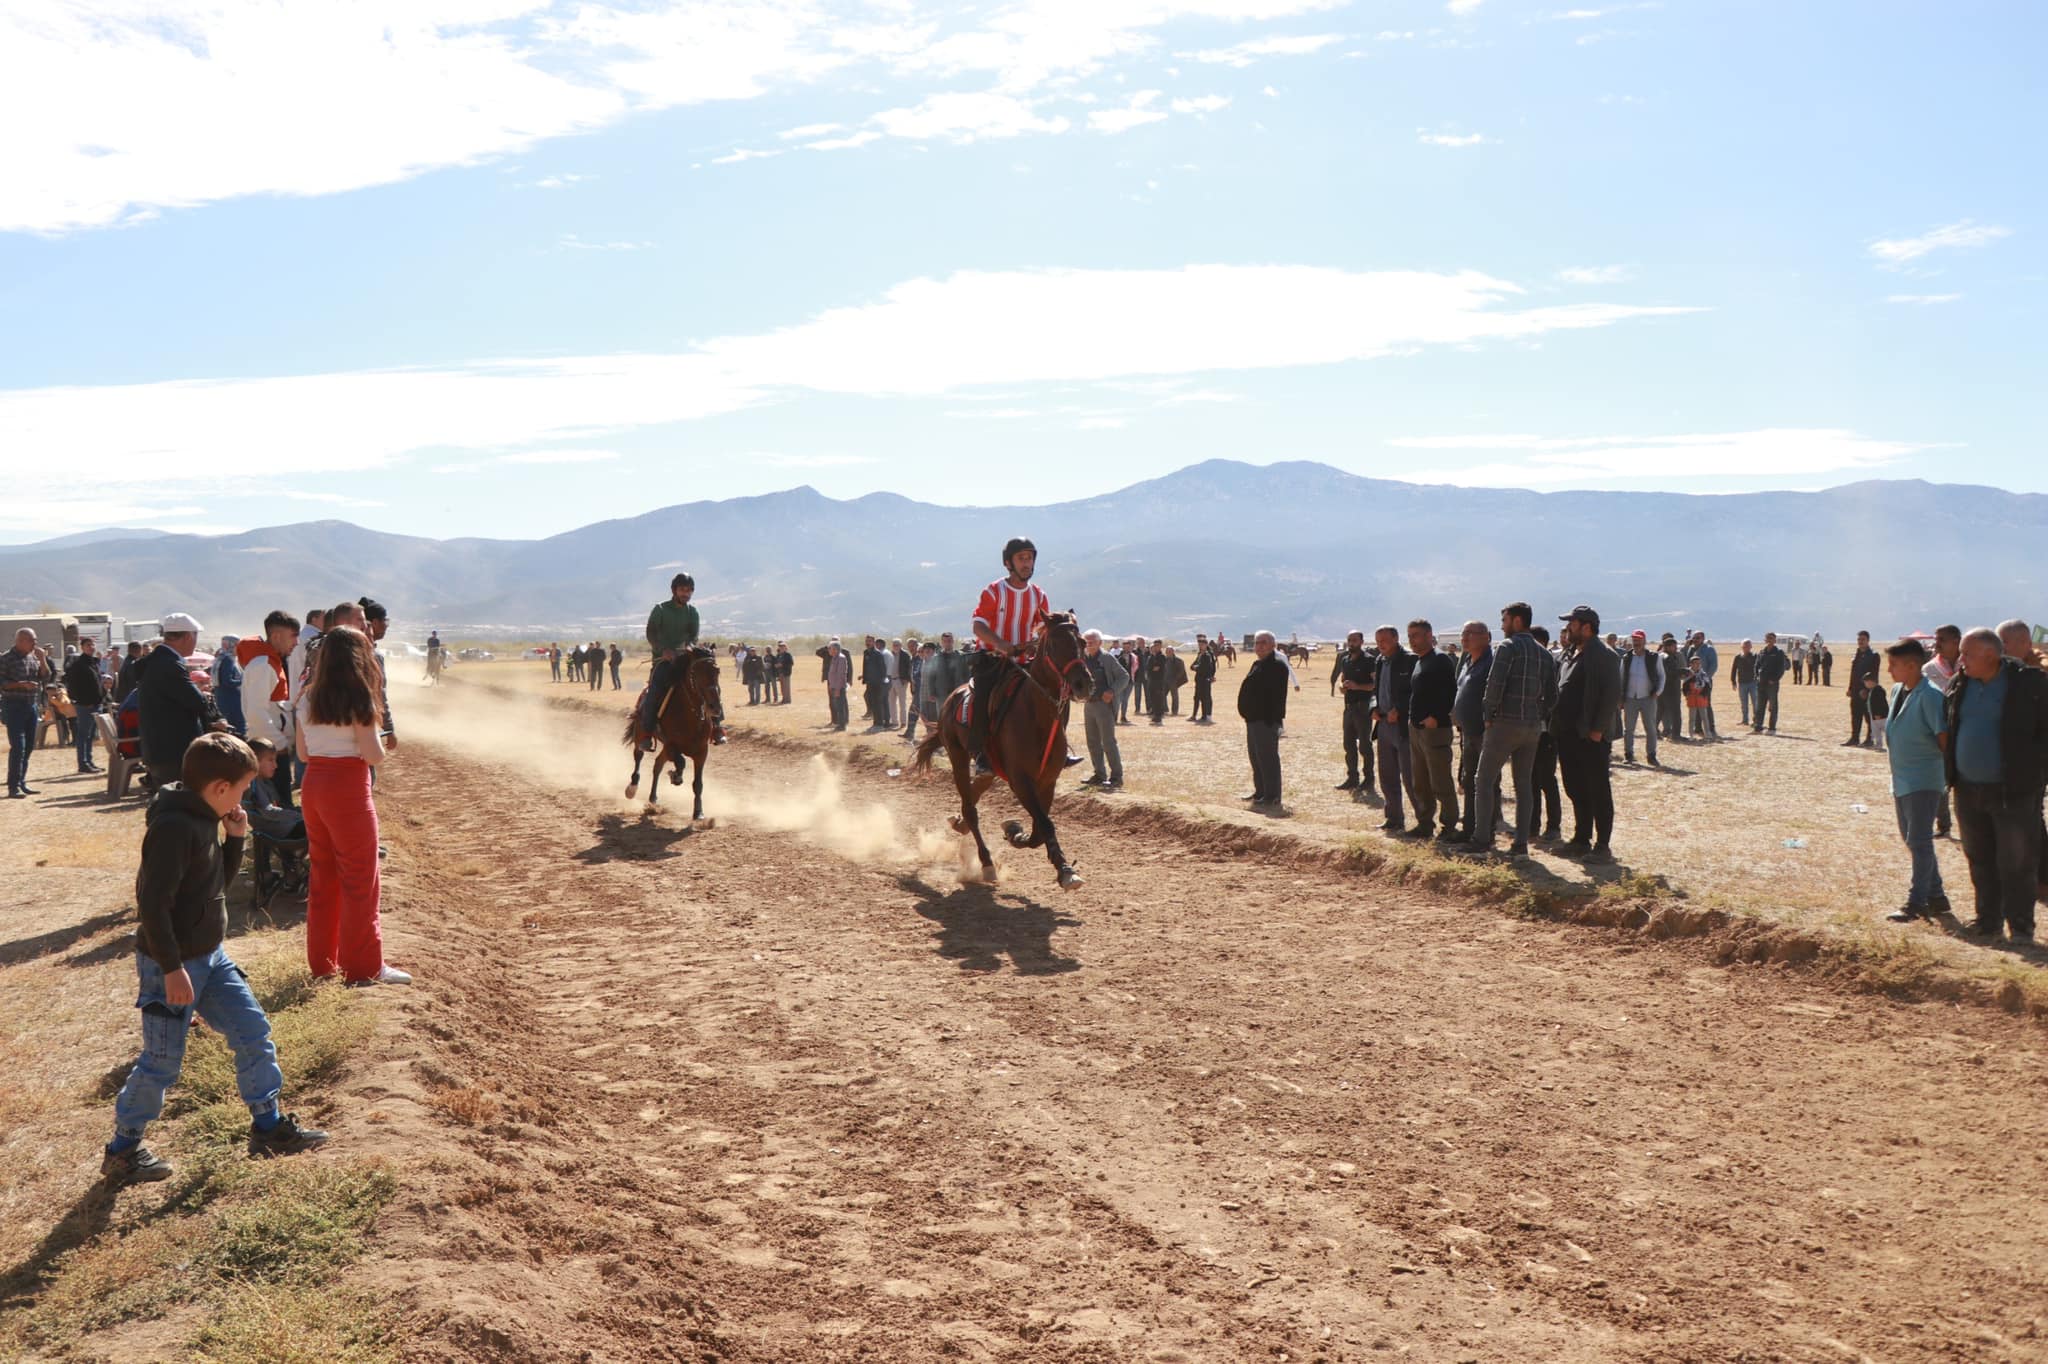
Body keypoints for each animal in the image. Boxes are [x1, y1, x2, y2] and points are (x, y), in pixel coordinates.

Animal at [618, 647, 724, 819]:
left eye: (717, 670)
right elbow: (681, 762)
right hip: (640, 736)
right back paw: (632, 788)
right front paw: (675, 776)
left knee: (657, 764)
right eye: (696, 672)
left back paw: (653, 798)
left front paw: (698, 812)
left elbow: (698, 784)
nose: (714, 707)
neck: (690, 716)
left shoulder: (702, 752)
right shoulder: (671, 745)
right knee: (639, 756)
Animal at [917, 610, 1097, 888]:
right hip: (958, 757)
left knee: (974, 793)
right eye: (1055, 643)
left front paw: (1016, 833)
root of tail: (952, 698)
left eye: (1081, 642)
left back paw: (959, 823)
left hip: (989, 770)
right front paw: (1066, 871)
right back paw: (986, 862)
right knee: (971, 809)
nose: (1083, 684)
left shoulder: (1047, 781)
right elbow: (1045, 825)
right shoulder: (1020, 781)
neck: (1037, 716)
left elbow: (1038, 830)